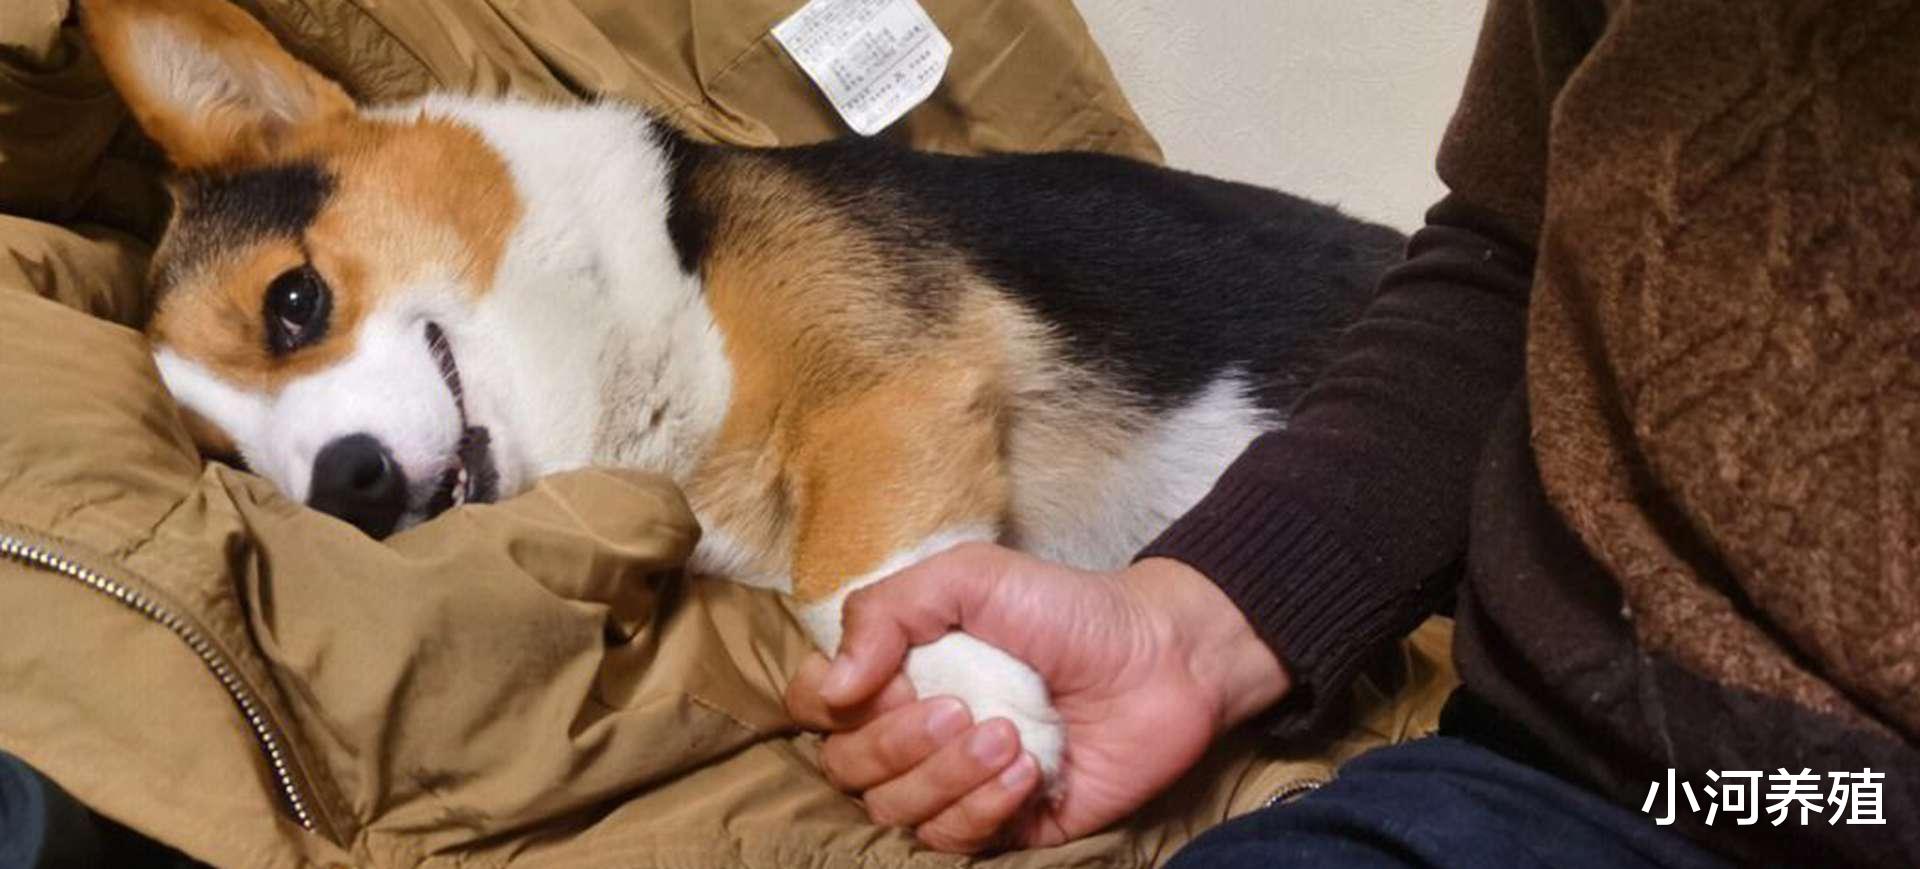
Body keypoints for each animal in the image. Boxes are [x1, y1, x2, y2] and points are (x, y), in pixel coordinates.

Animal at [82, 0, 1404, 788]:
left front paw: (977, 697)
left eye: (293, 302)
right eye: (231, 461)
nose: (345, 485)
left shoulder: (902, 379)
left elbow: (859, 574)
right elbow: (833, 590)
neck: (625, 326)